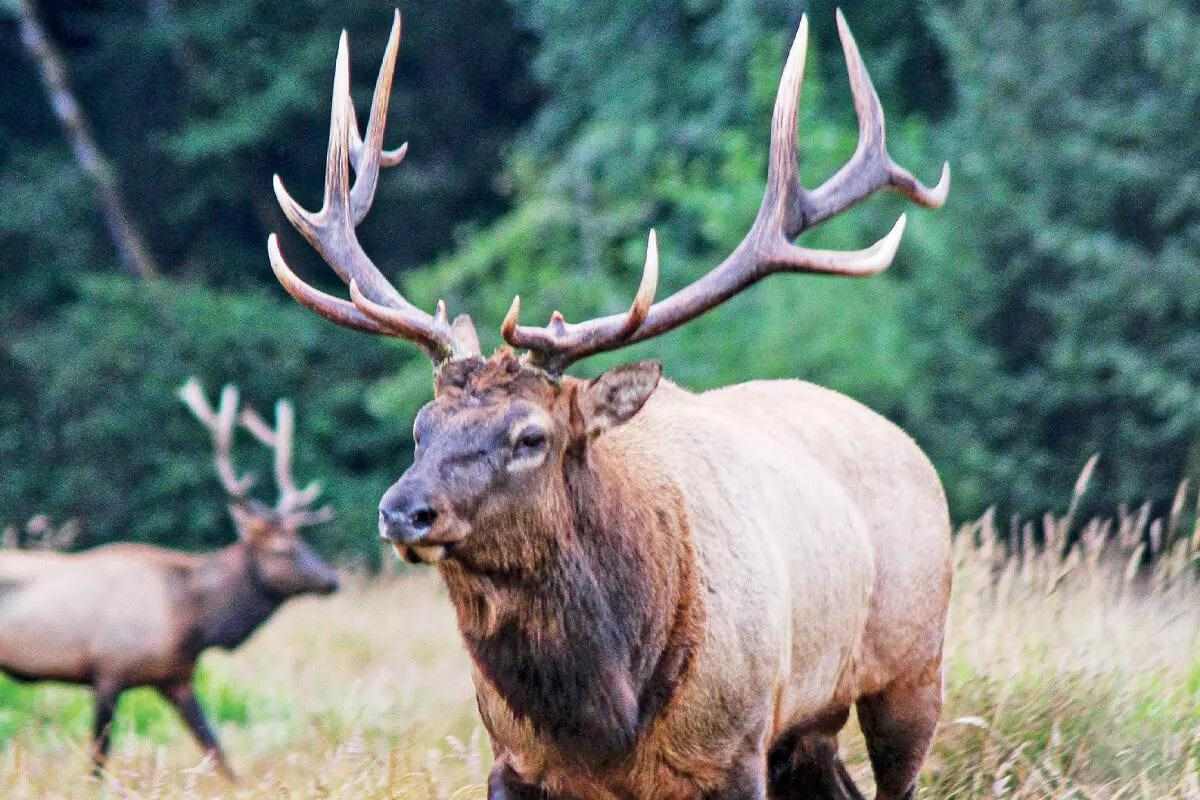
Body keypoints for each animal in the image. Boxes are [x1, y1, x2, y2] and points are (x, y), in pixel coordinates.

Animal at [0, 379, 339, 780]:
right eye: (283, 549)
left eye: (304, 540)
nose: (332, 579)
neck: (193, 619)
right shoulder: (108, 671)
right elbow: (98, 758)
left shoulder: (175, 678)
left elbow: (217, 752)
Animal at [267, 9, 952, 799]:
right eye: (421, 427)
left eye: (530, 437)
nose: (403, 512)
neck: (606, 719)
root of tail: (909, 448)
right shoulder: (512, 757)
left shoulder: (737, 746)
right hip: (810, 730)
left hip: (912, 668)